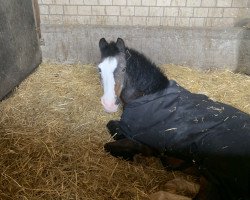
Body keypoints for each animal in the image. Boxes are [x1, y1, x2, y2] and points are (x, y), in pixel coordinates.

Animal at [97, 38, 250, 200]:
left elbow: (110, 141)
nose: (108, 104)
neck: (149, 94)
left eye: (123, 69)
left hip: (215, 181)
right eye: (99, 69)